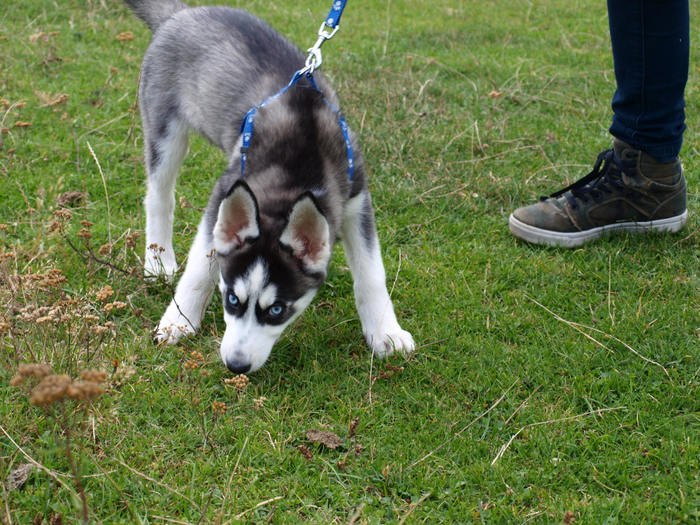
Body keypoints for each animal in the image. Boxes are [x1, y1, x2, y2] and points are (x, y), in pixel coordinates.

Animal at [121, 0, 416, 372]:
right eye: (231, 299)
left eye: (277, 310)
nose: (236, 365)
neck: (299, 166)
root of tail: (181, 13)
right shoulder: (224, 191)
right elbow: (200, 268)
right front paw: (179, 319)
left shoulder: (355, 200)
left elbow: (371, 271)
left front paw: (385, 332)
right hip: (165, 129)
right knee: (160, 197)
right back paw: (158, 261)